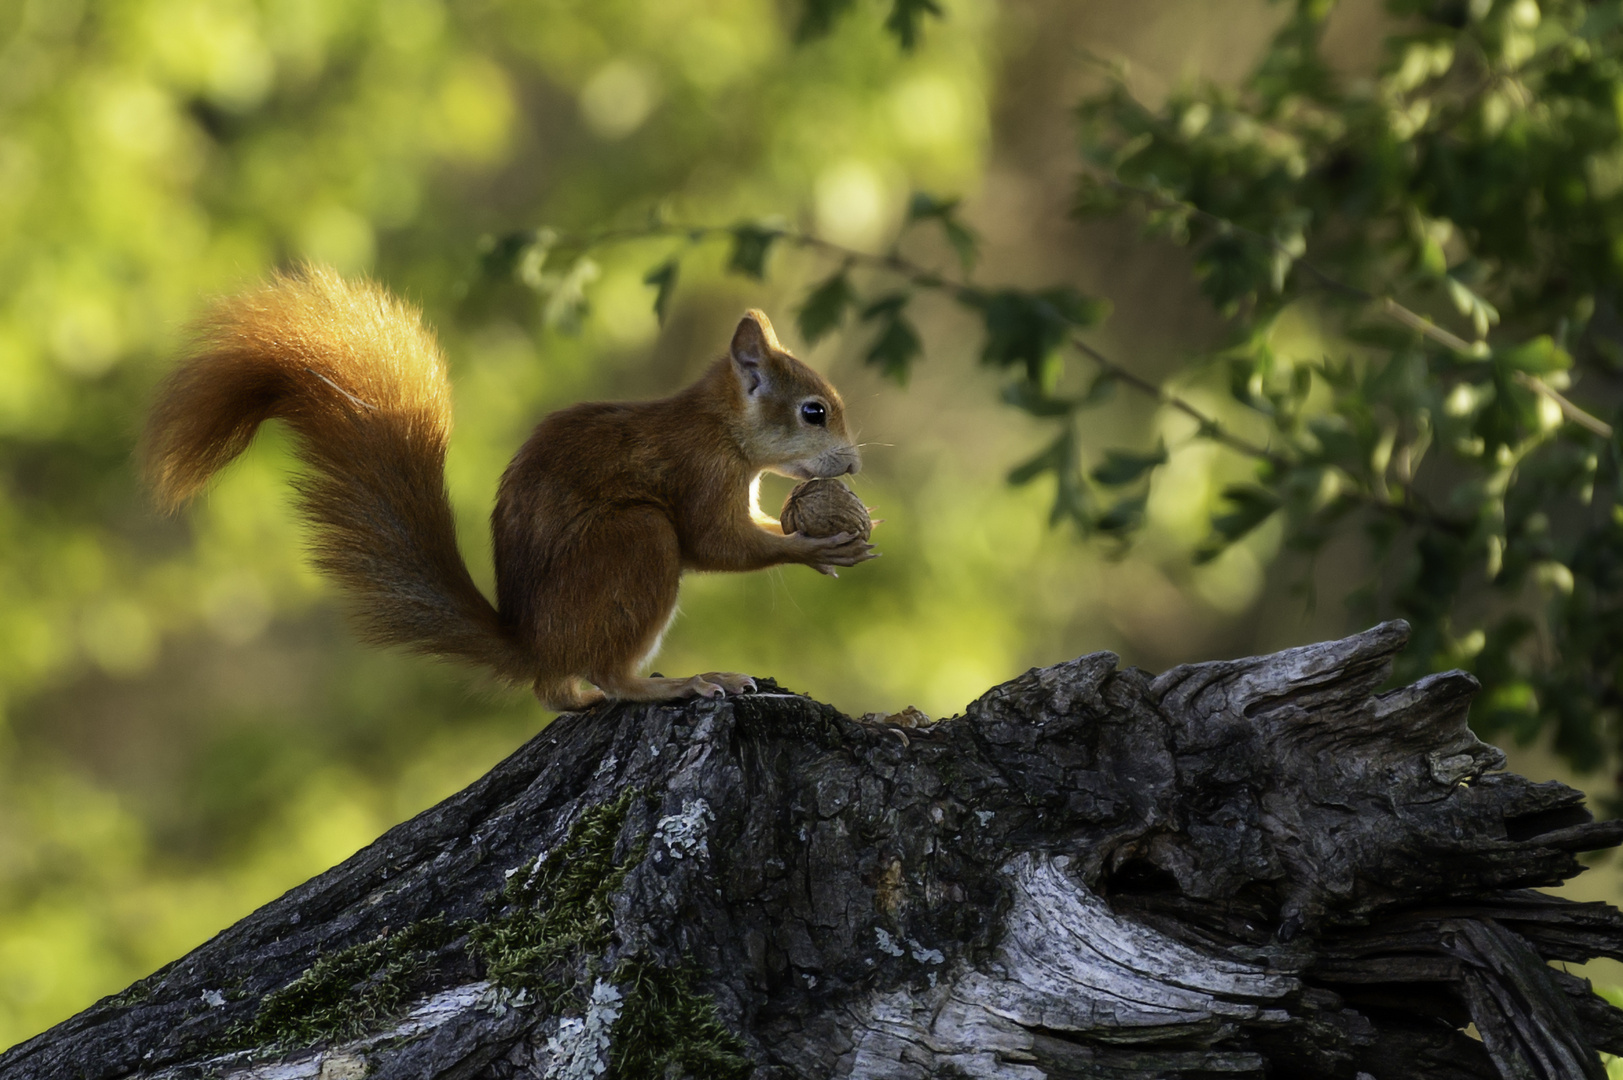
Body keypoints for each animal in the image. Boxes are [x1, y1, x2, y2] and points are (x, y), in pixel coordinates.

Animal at [142, 263, 876, 708]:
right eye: (813, 412)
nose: (852, 466)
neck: (721, 427)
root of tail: (536, 645)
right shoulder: (699, 473)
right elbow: (718, 545)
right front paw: (818, 547)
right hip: (634, 541)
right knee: (607, 673)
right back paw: (677, 684)